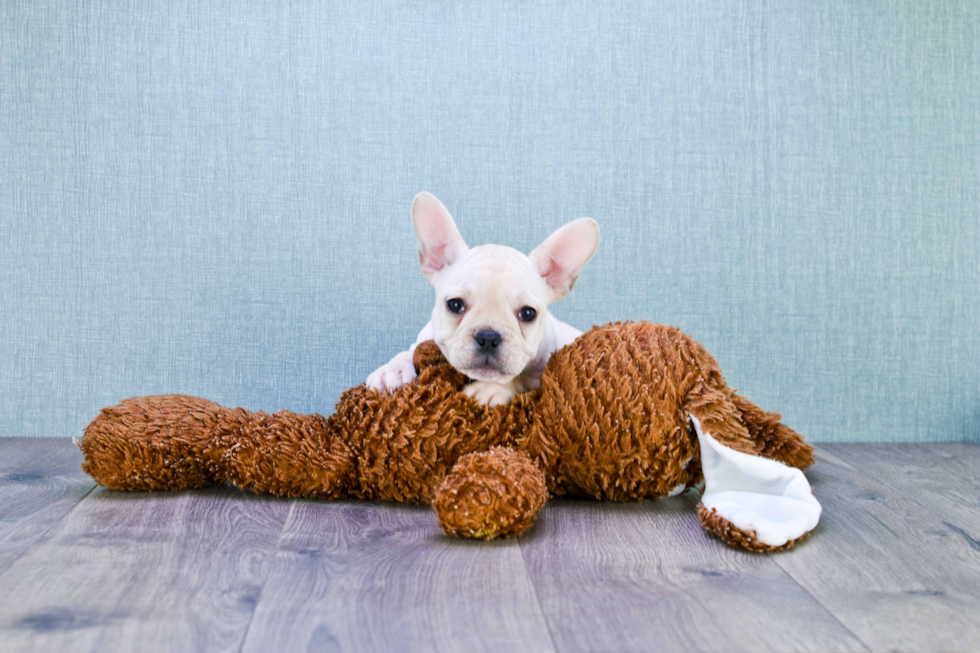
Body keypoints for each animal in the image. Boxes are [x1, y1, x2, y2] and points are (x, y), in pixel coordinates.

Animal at [366, 191, 600, 404]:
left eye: (527, 313)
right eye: (455, 305)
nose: (488, 337)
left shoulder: (543, 372)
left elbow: (520, 378)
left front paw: (489, 389)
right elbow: (411, 349)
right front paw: (392, 370)